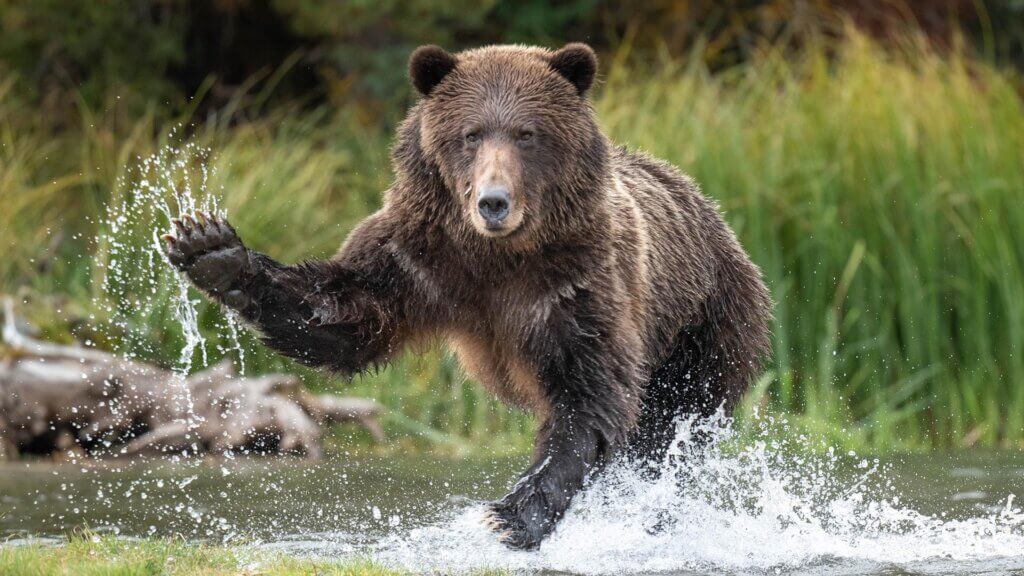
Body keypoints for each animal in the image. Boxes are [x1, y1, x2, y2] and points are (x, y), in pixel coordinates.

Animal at [161, 43, 770, 545]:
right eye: (471, 134)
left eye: (527, 133)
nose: (492, 201)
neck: (495, 259)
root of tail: (716, 217)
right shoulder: (417, 259)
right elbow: (344, 318)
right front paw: (211, 250)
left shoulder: (576, 286)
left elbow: (589, 398)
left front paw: (512, 515)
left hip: (705, 329)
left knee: (670, 430)